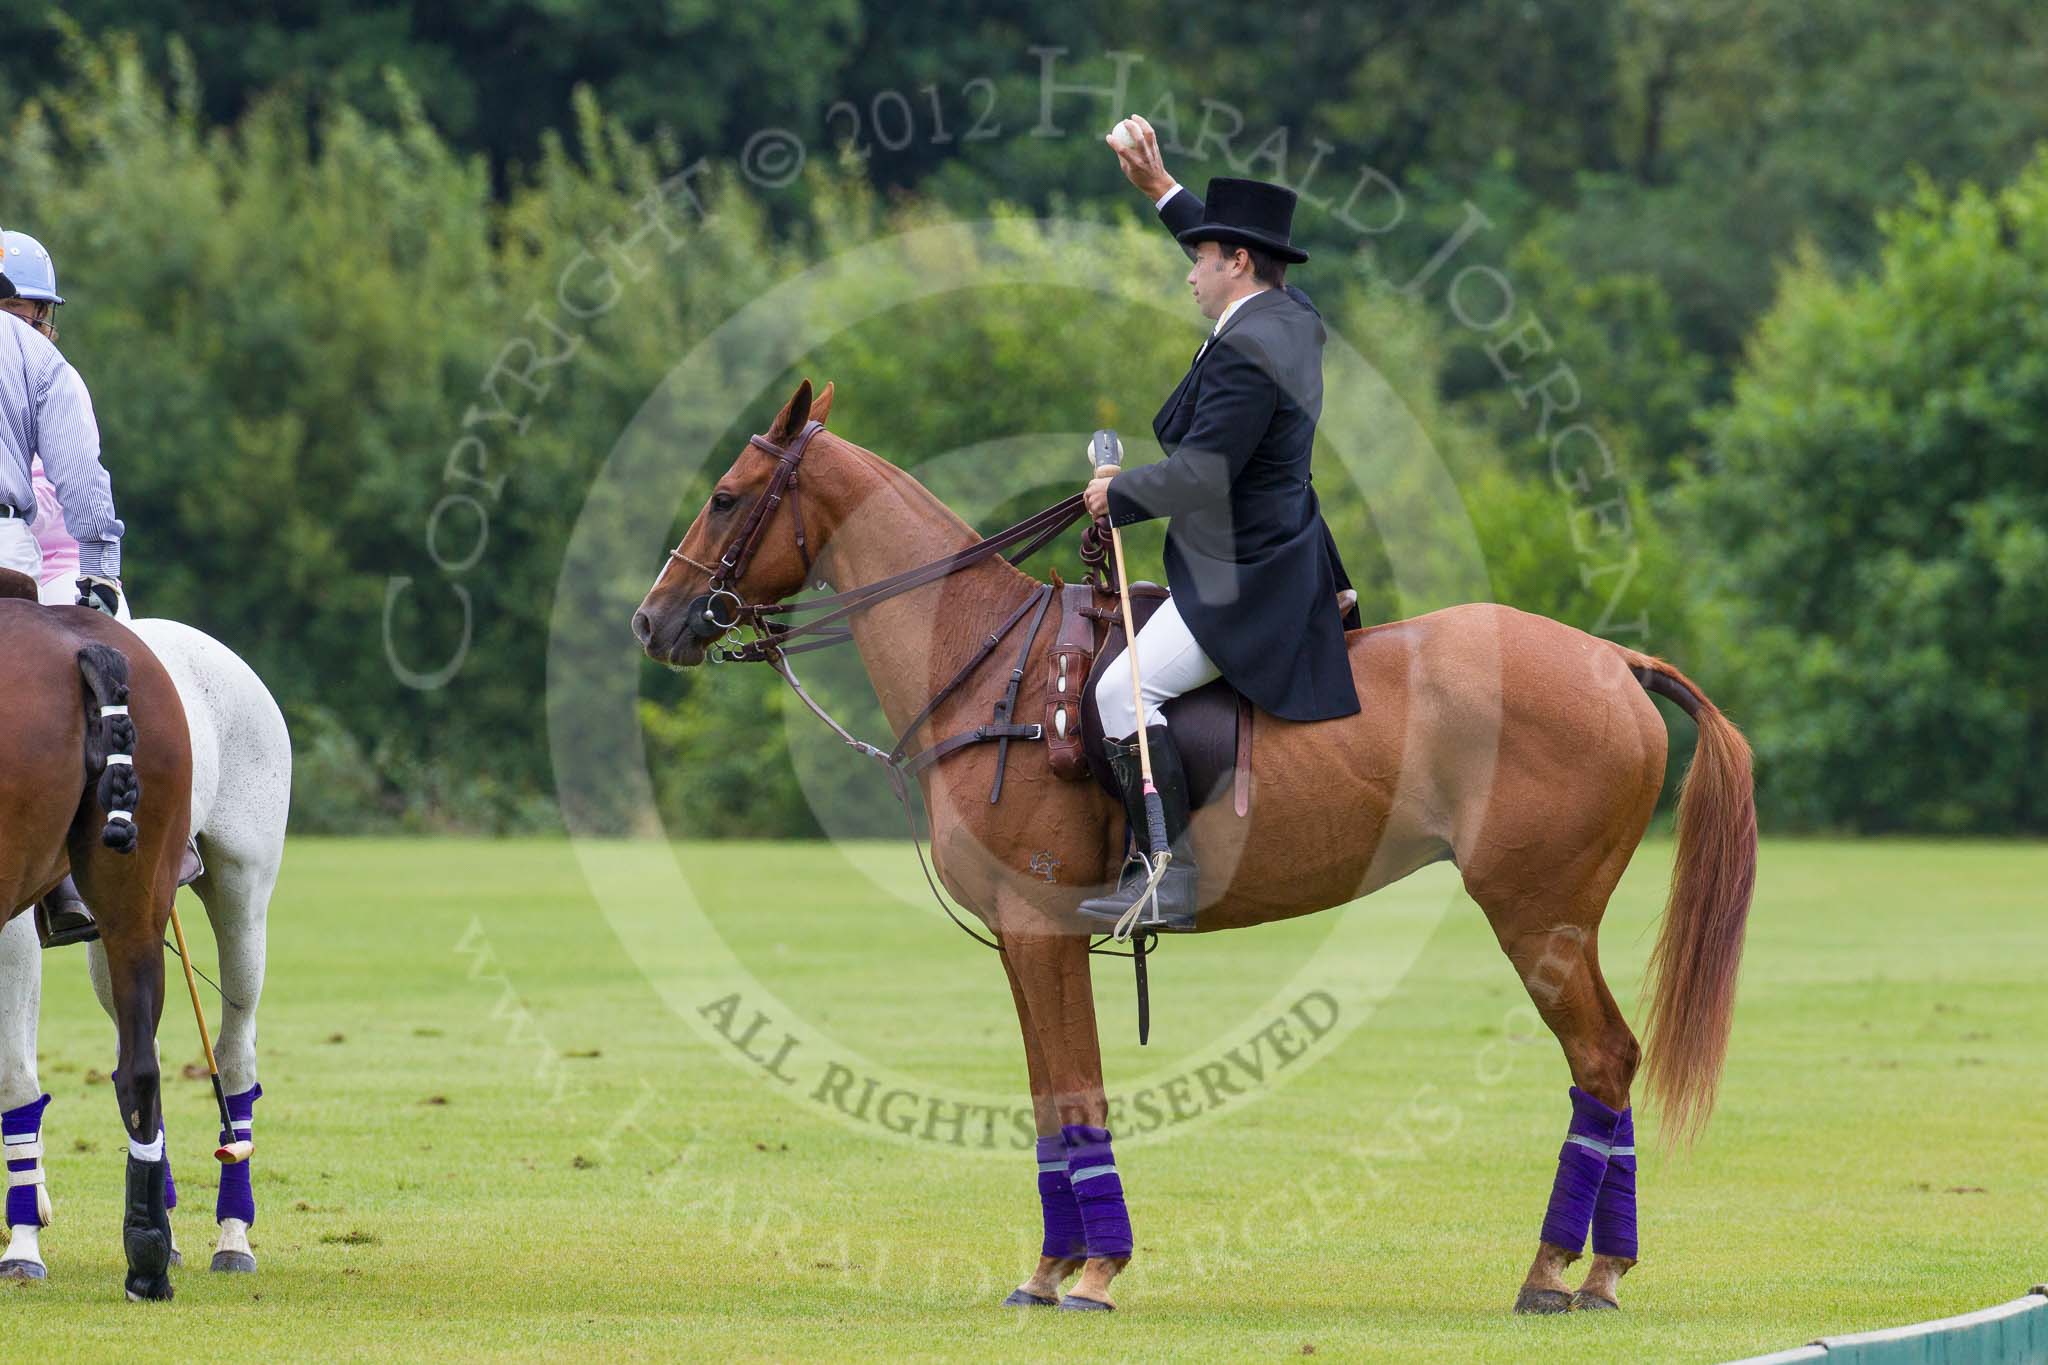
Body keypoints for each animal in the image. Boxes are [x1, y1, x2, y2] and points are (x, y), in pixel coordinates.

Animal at [630, 382, 1753, 1309]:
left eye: (726, 497)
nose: (655, 621)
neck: (984, 668)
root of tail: (1615, 660)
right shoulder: (1026, 937)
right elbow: (1049, 1096)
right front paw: (1049, 1271)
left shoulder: (1040, 924)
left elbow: (1074, 1089)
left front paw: (1091, 1271)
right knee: (1608, 1064)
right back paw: (1593, 1269)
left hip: (1537, 912)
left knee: (1602, 1059)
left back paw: (1561, 1268)